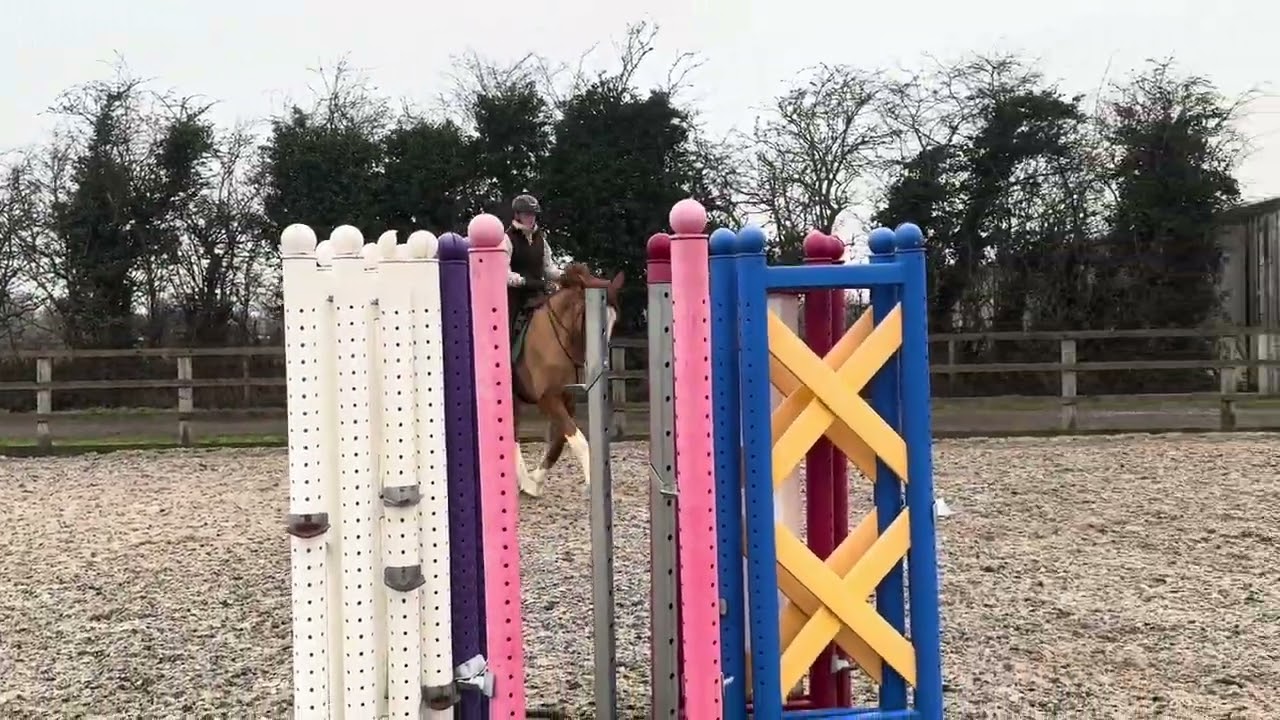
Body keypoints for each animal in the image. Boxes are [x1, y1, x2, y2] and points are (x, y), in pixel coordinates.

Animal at [511, 262, 623, 497]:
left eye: (614, 320)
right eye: (587, 316)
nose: (601, 362)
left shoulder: (567, 399)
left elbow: (561, 441)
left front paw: (536, 481)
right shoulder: (547, 399)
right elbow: (578, 440)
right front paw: (592, 480)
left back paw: (524, 482)